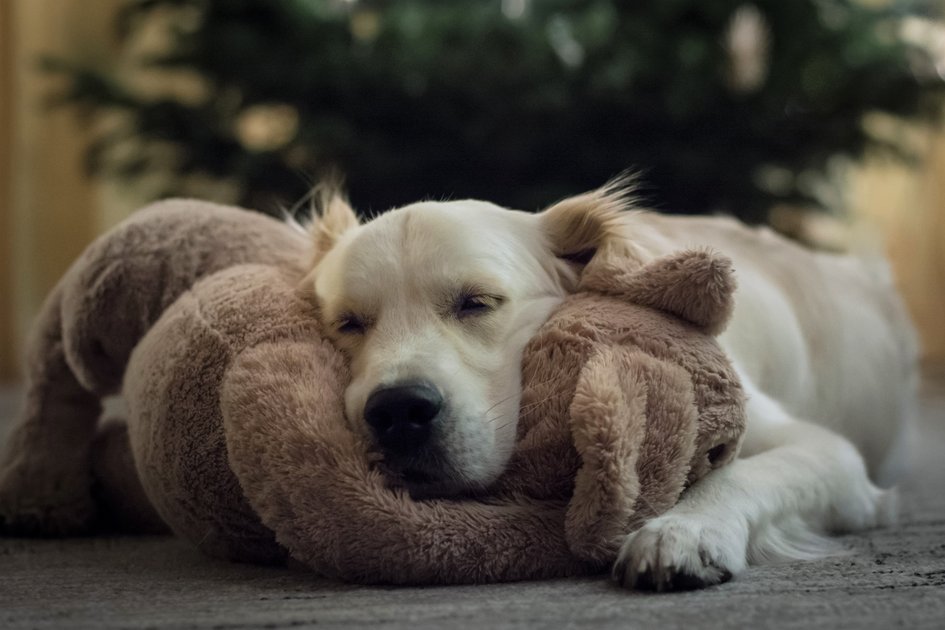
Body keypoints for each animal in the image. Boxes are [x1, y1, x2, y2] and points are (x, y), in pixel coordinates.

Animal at [302, 181, 916, 592]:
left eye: (476, 302)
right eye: (348, 322)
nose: (398, 412)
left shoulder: (833, 456)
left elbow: (747, 473)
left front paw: (685, 531)